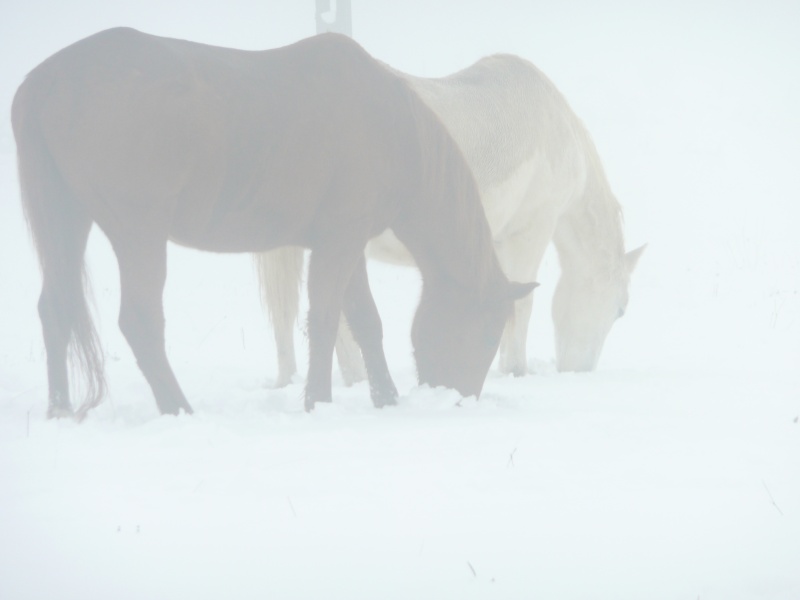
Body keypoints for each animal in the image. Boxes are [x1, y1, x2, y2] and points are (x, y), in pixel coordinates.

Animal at [12, 28, 536, 420]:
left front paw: (385, 398)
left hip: (67, 220)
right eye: (488, 331)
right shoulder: (339, 243)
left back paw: (60, 409)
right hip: (137, 234)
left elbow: (366, 322)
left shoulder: (346, 242)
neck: (391, 125)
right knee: (139, 321)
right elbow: (325, 320)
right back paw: (178, 407)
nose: (460, 398)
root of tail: (46, 82)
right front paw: (318, 401)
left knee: (54, 309)